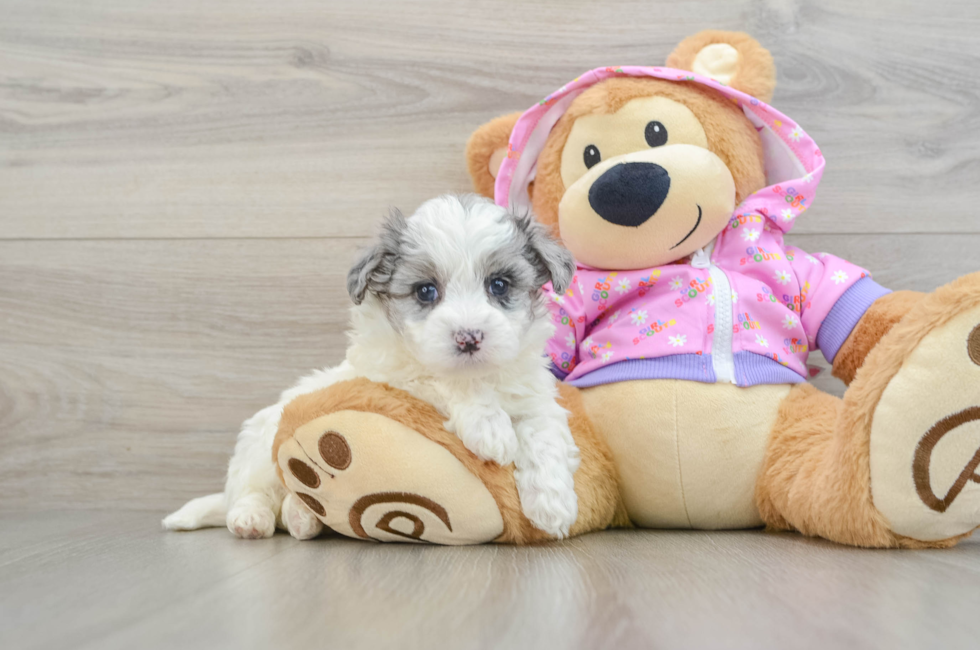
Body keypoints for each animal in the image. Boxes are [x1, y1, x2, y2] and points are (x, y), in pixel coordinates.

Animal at [165, 195, 580, 540]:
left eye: (499, 285)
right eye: (426, 291)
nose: (468, 338)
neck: (481, 373)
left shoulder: (534, 396)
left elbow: (544, 436)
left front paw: (553, 506)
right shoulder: (394, 375)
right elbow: (441, 378)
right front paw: (490, 428)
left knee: (289, 502)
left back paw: (302, 519)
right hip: (260, 449)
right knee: (254, 492)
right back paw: (252, 519)